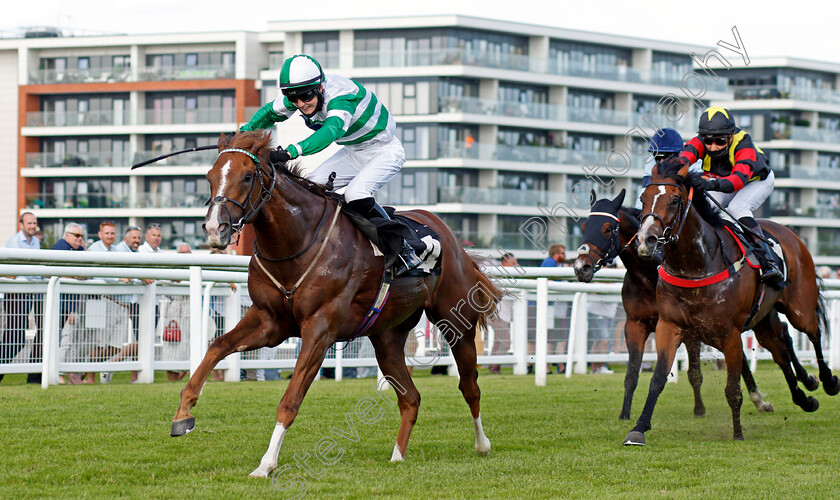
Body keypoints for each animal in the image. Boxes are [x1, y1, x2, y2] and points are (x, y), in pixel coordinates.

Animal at [170, 130, 498, 476]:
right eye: (210, 177)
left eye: (247, 176)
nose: (214, 228)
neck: (296, 242)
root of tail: (450, 236)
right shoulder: (269, 321)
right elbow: (217, 347)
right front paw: (183, 414)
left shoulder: (320, 329)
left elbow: (290, 399)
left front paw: (266, 464)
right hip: (387, 337)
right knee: (411, 398)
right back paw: (397, 455)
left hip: (456, 322)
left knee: (469, 386)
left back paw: (482, 444)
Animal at [572, 189, 776, 420]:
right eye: (584, 227)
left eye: (607, 229)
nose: (581, 267)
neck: (648, 276)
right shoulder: (635, 324)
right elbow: (632, 373)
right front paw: (625, 414)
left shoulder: (688, 329)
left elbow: (694, 372)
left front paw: (699, 409)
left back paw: (761, 399)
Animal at [628, 163, 836, 446]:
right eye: (643, 199)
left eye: (674, 200)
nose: (646, 240)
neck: (697, 264)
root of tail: (791, 233)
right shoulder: (670, 326)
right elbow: (658, 378)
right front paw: (638, 428)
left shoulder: (730, 335)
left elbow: (732, 389)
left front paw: (737, 433)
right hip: (763, 319)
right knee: (780, 349)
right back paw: (805, 397)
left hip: (799, 308)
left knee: (813, 333)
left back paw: (826, 380)